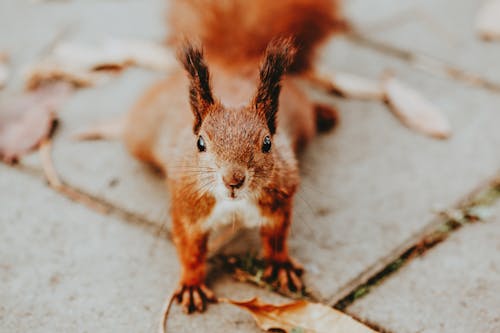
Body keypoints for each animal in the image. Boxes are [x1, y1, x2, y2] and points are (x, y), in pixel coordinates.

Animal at [123, 0, 346, 312]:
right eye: (200, 143)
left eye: (267, 142)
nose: (233, 180)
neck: (234, 204)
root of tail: (232, 61)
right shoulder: (187, 208)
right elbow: (190, 249)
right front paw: (191, 284)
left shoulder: (279, 201)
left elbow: (277, 239)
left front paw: (281, 265)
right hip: (140, 131)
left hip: (301, 114)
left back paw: (325, 113)